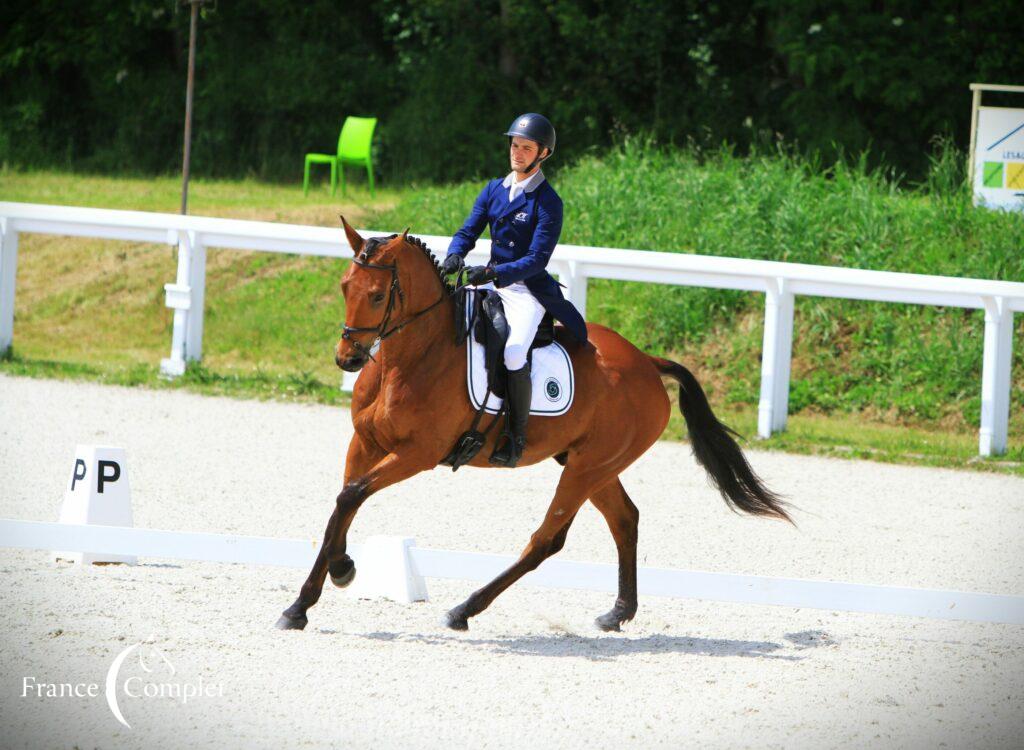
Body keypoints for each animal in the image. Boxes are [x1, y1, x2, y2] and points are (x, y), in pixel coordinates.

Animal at [278, 218, 790, 631]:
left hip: (585, 469)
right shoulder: (364, 441)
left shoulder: (416, 455)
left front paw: (315, 592)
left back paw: (464, 609)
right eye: (344, 286)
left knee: (547, 539)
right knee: (625, 520)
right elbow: (343, 502)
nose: (347, 359)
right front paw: (329, 578)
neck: (410, 359)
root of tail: (647, 362)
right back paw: (617, 612)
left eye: (378, 294)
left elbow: (352, 496)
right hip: (594, 465)